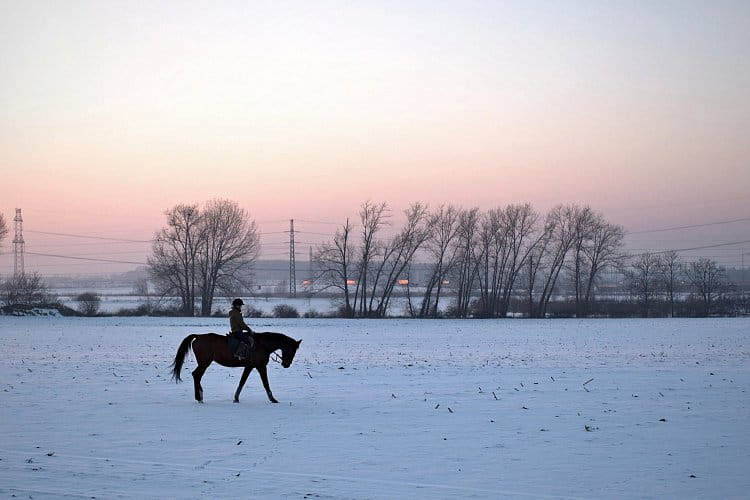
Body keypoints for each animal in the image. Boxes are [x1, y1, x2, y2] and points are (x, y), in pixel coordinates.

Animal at [172, 330, 302, 404]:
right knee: (196, 375)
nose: (286, 364)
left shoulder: (249, 366)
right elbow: (266, 383)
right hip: (204, 363)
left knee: (197, 375)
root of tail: (198, 336)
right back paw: (199, 397)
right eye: (292, 350)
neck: (263, 345)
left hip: (204, 363)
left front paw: (236, 398)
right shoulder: (260, 366)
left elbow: (242, 382)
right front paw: (273, 399)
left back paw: (200, 396)